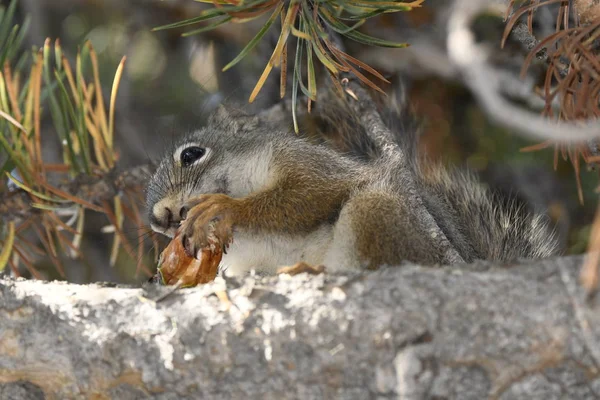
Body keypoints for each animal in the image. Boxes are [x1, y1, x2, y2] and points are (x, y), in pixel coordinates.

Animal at [148, 86, 560, 276]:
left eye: (191, 154)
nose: (159, 218)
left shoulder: (310, 168)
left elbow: (305, 198)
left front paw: (225, 209)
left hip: (378, 214)